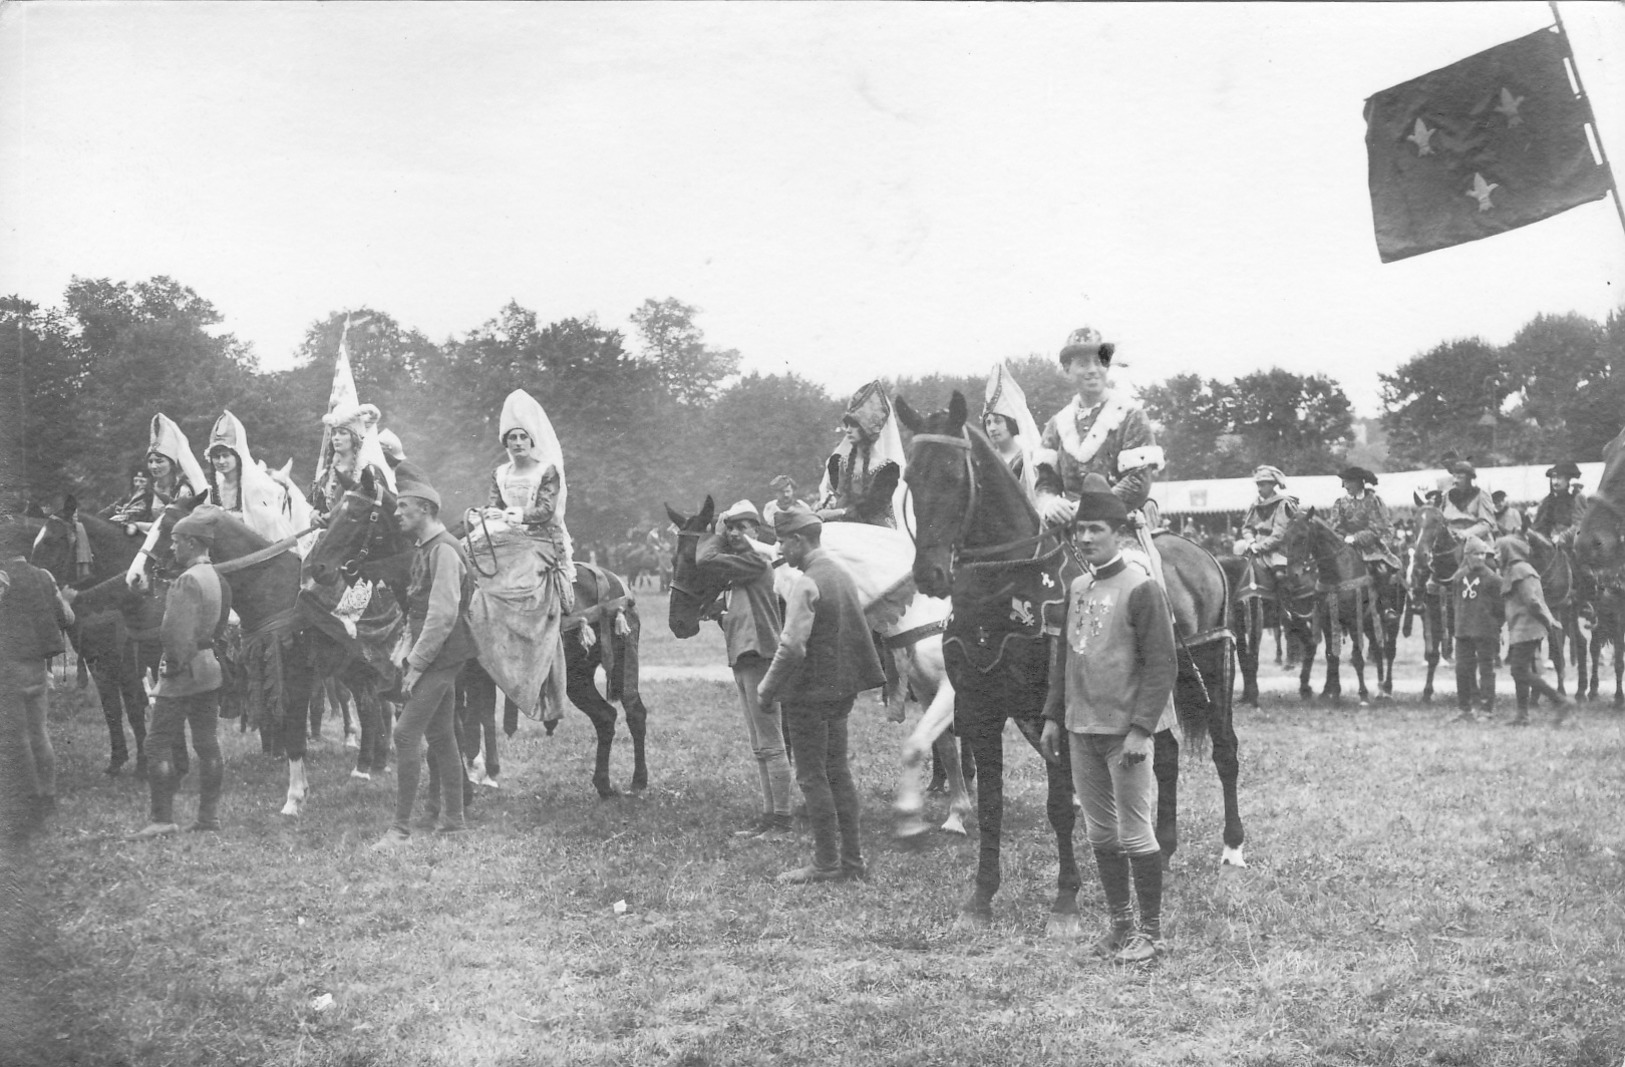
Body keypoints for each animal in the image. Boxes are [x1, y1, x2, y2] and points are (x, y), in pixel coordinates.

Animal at [305, 470, 653, 795]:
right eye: (332, 513)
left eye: (355, 514)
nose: (316, 568)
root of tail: (613, 581)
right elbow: (456, 727)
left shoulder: (455, 678)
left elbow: (460, 727)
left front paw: (467, 784)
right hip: (578, 678)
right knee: (606, 717)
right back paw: (604, 784)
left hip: (620, 664)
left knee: (634, 711)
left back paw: (638, 781)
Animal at [897, 394, 1235, 928]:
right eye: (910, 476)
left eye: (953, 474)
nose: (928, 574)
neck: (1008, 586)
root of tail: (1200, 553)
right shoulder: (979, 709)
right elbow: (990, 805)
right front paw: (982, 895)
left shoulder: (1050, 714)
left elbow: (1059, 805)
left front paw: (1066, 897)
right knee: (1167, 755)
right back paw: (1164, 846)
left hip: (1213, 676)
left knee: (1225, 753)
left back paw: (1233, 849)